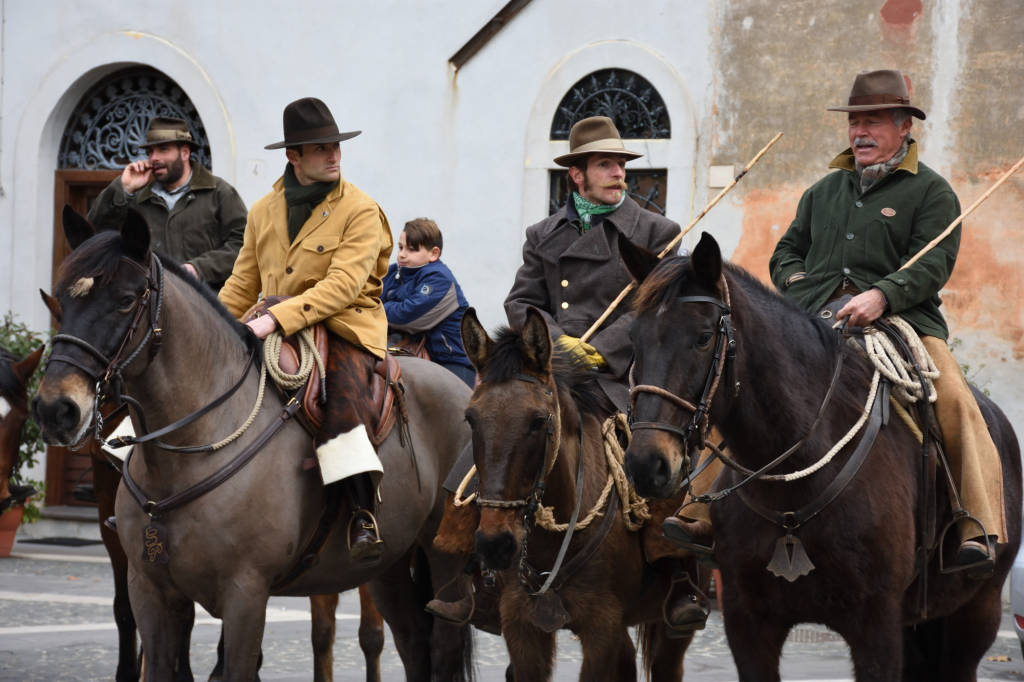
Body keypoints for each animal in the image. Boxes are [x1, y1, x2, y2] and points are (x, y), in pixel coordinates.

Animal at [34, 206, 473, 679]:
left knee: (441, 646)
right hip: (387, 563)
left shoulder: (245, 596)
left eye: (125, 301)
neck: (187, 451)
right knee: (413, 640)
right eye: (61, 300)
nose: (55, 409)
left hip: (444, 560)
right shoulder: (150, 591)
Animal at [618, 232, 1019, 679]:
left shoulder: (877, 628)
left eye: (704, 337)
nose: (646, 463)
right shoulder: (747, 623)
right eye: (633, 339)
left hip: (976, 614)